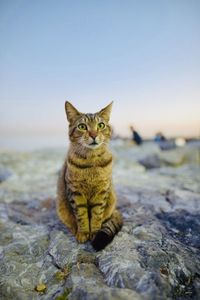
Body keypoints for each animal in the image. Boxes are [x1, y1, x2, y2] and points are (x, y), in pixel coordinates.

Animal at [55, 101, 122, 251]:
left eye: (101, 125)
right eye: (82, 126)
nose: (93, 135)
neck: (91, 162)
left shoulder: (102, 191)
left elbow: (97, 215)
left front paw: (95, 232)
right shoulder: (75, 192)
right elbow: (81, 215)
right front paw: (83, 232)